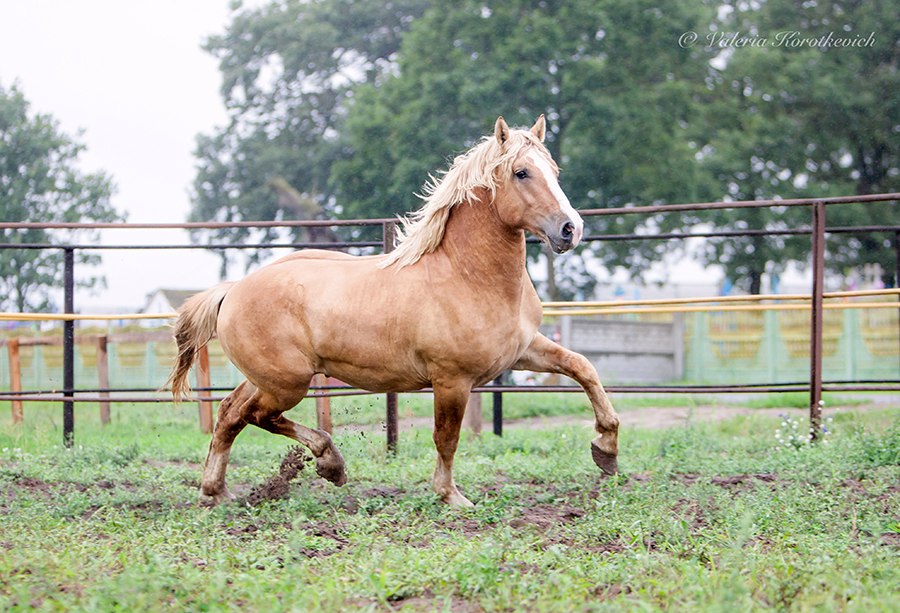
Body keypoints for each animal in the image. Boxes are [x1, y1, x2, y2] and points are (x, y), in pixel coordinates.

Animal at [169, 115, 620, 506]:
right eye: (522, 173)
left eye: (554, 171)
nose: (570, 229)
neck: (467, 276)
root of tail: (232, 291)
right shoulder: (452, 379)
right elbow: (446, 438)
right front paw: (451, 496)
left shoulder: (523, 351)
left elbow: (583, 368)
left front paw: (606, 449)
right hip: (288, 382)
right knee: (255, 415)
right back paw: (330, 463)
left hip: (266, 377)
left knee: (230, 414)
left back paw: (217, 492)